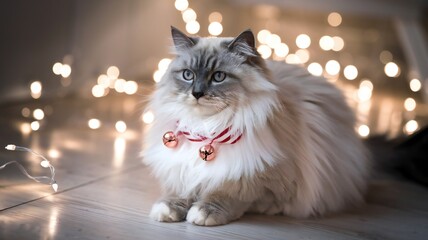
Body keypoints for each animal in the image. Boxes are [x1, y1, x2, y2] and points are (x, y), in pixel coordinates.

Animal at [142, 27, 370, 226]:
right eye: (188, 75)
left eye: (218, 77)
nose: (197, 93)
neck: (207, 127)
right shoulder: (180, 169)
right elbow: (179, 191)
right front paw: (169, 208)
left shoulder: (265, 183)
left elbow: (229, 194)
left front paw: (203, 211)